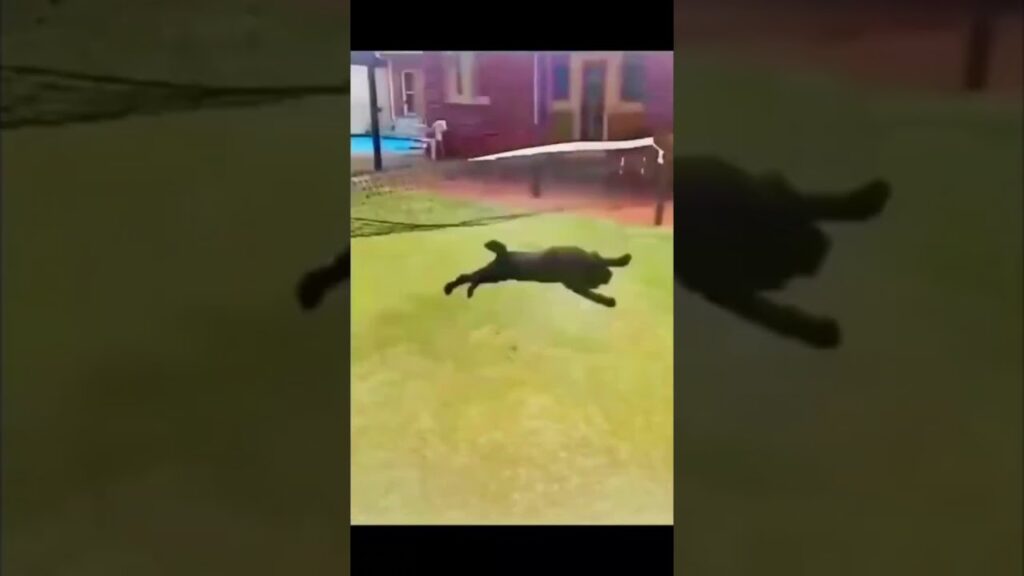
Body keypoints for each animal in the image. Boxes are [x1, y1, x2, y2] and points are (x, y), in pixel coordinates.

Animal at [446, 238, 630, 307]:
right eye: (600, 280)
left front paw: (623, 260)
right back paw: (457, 289)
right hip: (495, 272)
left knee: (470, 277)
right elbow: (593, 294)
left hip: (494, 275)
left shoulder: (579, 275)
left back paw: (453, 288)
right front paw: (608, 301)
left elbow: (605, 259)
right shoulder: (576, 282)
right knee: (473, 277)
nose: (609, 277)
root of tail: (502, 256)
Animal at [679, 154, 888, 348]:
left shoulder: (778, 197)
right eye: (784, 279)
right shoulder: (728, 289)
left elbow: (823, 203)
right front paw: (819, 333)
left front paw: (867, 200)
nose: (824, 247)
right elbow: (780, 319)